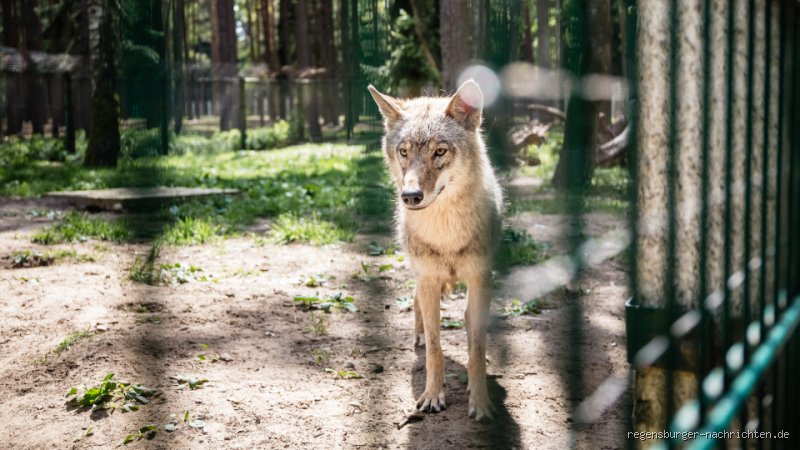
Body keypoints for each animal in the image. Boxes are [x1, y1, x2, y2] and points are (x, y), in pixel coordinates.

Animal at [367, 81, 503, 422]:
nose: (410, 195)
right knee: (417, 307)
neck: (446, 233)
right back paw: (417, 336)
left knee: (469, 322)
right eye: (404, 152)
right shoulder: (428, 279)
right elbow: (434, 349)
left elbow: (477, 348)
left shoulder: (481, 279)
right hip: (421, 277)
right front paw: (431, 396)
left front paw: (480, 401)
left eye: (439, 151)